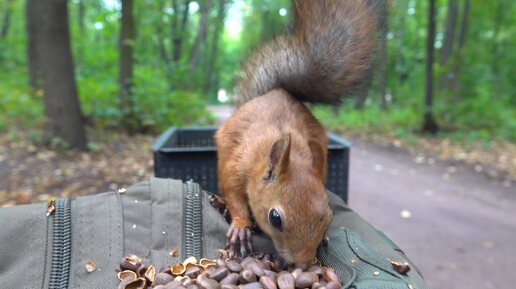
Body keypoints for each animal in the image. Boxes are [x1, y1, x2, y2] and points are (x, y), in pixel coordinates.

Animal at [214, 0, 374, 268]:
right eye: (275, 218)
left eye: (329, 217)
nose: (303, 264)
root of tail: (277, 91)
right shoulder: (235, 166)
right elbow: (234, 194)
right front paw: (240, 226)